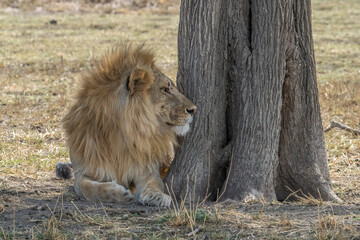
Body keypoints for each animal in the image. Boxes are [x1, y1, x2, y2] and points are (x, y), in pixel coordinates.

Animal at [56, 43, 195, 206]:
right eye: (165, 89)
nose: (193, 109)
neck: (122, 133)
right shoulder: (84, 171)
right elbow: (88, 188)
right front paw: (119, 193)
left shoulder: (148, 168)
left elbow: (153, 182)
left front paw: (157, 196)